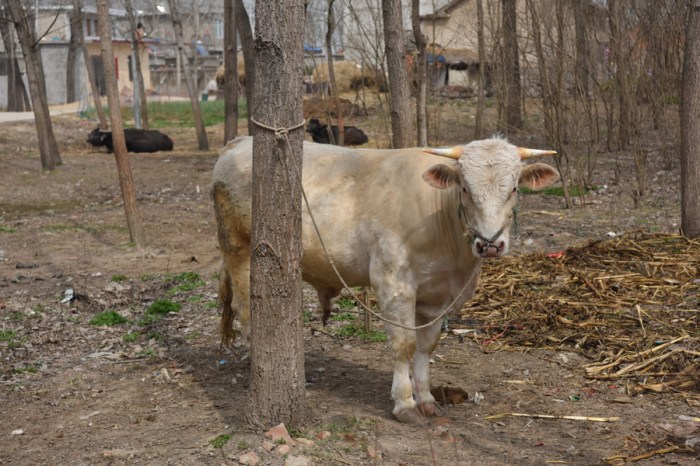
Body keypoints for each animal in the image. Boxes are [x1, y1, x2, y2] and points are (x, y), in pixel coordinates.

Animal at [211, 136, 559, 423]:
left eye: (514, 189)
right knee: (246, 312)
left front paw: (427, 399)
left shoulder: (437, 295)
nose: (490, 244)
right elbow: (404, 345)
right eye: (464, 189)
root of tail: (238, 142)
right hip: (240, 253)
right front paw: (405, 403)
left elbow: (426, 347)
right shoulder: (394, 284)